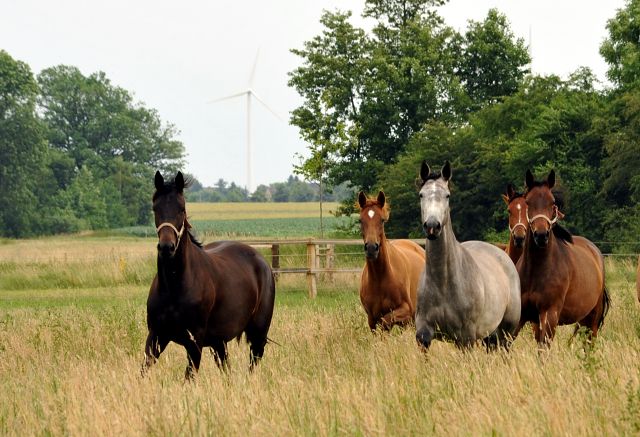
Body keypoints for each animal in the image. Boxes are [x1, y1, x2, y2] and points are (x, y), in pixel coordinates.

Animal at [141, 170, 274, 378]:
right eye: (155, 208)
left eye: (182, 208)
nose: (166, 247)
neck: (174, 285)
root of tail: (261, 260)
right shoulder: (156, 336)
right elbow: (144, 370)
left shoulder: (195, 340)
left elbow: (189, 377)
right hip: (219, 342)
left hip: (258, 335)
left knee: (253, 364)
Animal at [356, 189, 424, 328]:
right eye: (360, 220)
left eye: (382, 220)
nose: (371, 248)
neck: (379, 277)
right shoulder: (371, 318)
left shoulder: (406, 309)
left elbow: (385, 320)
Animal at [416, 162, 520, 350]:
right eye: (421, 194)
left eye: (447, 195)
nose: (432, 226)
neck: (443, 281)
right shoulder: (423, 329)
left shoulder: (466, 337)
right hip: (490, 336)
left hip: (506, 332)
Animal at [516, 169, 608, 344]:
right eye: (528, 202)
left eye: (552, 202)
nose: (541, 235)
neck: (536, 270)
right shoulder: (523, 314)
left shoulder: (550, 314)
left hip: (591, 320)